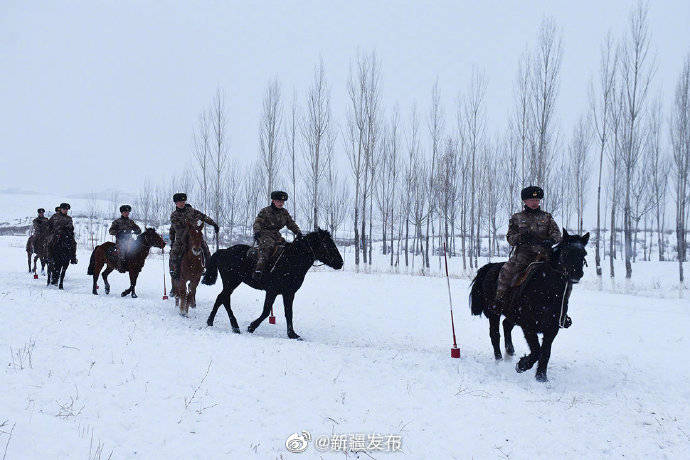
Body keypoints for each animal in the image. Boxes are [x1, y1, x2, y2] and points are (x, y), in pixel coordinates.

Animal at [200, 229, 342, 340]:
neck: (292, 260)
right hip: (232, 282)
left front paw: (292, 334)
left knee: (222, 299)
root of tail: (223, 251)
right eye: (327, 244)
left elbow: (288, 312)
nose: (340, 262)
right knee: (223, 298)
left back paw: (220, 323)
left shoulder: (289, 293)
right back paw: (227, 324)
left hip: (232, 283)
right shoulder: (272, 291)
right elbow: (266, 311)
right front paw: (251, 327)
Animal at [468, 229, 584, 380]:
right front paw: (522, 365)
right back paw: (499, 360)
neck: (547, 291)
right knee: (495, 335)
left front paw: (541, 377)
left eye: (584, 254)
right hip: (494, 313)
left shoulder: (552, 328)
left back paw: (510, 351)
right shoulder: (529, 326)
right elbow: (536, 350)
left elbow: (545, 352)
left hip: (512, 314)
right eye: (566, 253)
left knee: (506, 325)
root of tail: (490, 266)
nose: (577, 274)